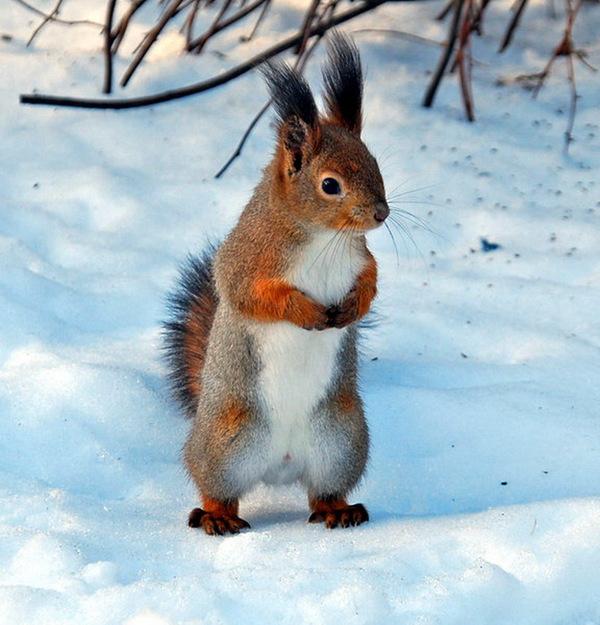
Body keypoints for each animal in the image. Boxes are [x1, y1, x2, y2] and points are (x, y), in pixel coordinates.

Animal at [164, 31, 390, 532]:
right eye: (330, 185)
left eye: (375, 164)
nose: (381, 214)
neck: (323, 237)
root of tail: (280, 466)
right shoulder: (246, 260)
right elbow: (251, 295)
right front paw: (305, 311)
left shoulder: (359, 257)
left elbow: (370, 280)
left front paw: (353, 307)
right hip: (227, 443)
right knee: (217, 490)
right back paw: (218, 518)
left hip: (341, 443)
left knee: (323, 491)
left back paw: (340, 510)